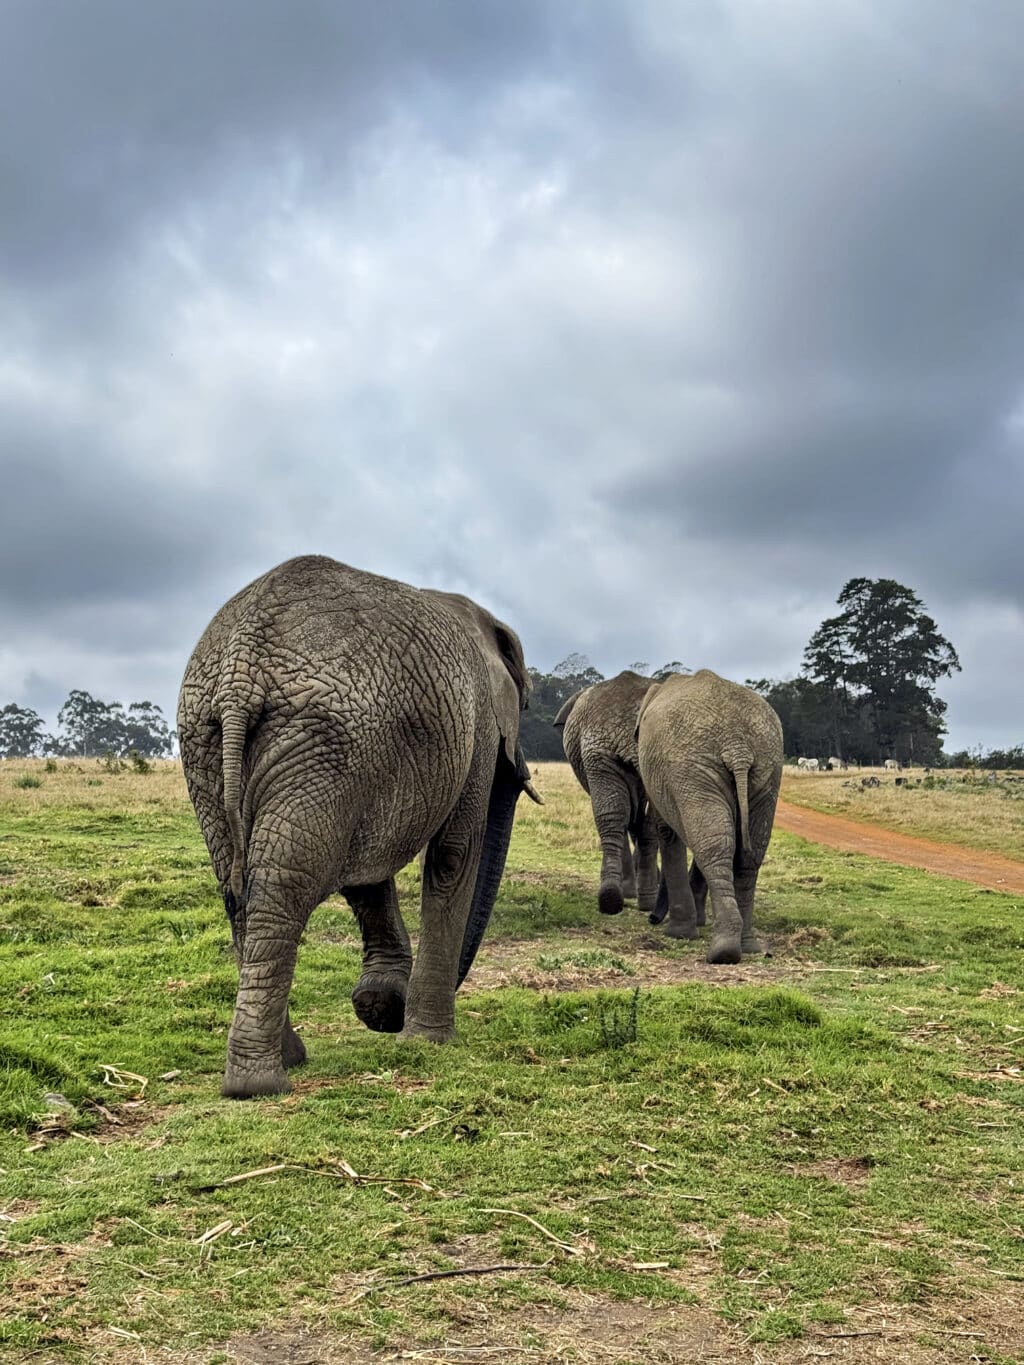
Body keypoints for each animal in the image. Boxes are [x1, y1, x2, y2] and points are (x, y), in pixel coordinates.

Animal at [177, 554, 539, 1099]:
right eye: (524, 702)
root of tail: (242, 672)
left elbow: (367, 870)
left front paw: (381, 1008)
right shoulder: (473, 728)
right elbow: (454, 855)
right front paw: (426, 1040)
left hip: (216, 744)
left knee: (236, 885)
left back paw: (283, 1059)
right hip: (319, 740)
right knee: (283, 884)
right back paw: (260, 1083)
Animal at [554, 670, 660, 917]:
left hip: (600, 752)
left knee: (617, 817)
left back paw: (618, 898)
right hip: (600, 752)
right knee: (622, 818)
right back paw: (637, 899)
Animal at [636, 670, 783, 964]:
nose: (652, 919)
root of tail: (737, 746)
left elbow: (667, 832)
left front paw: (680, 933)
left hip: (694, 769)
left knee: (714, 847)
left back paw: (723, 952)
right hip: (766, 769)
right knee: (744, 853)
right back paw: (747, 946)